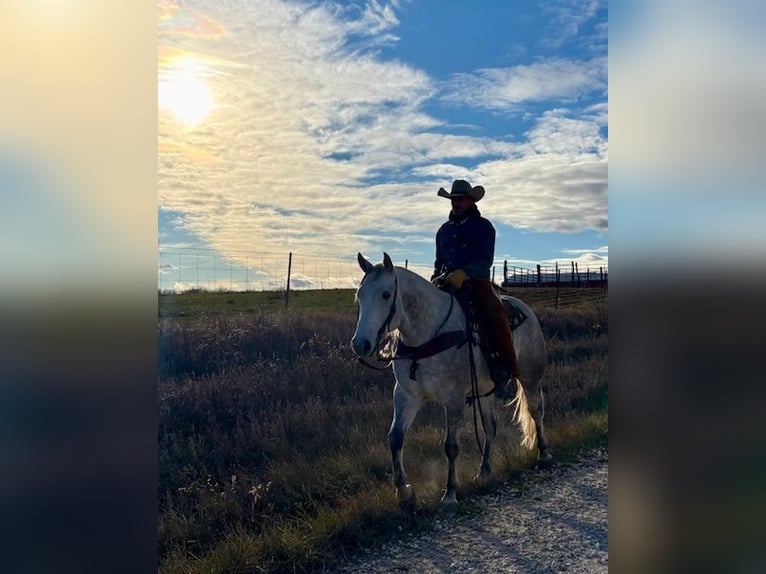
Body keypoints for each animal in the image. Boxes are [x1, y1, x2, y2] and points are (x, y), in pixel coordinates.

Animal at [354, 253, 552, 508]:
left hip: (530, 377)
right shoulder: (406, 395)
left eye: (386, 294)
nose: (361, 344)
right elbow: (395, 438)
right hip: (486, 390)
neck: (428, 335)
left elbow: (451, 447)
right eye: (360, 295)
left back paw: (544, 453)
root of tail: (526, 309)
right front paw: (404, 491)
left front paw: (449, 493)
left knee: (536, 412)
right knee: (490, 427)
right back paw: (484, 470)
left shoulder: (454, 400)